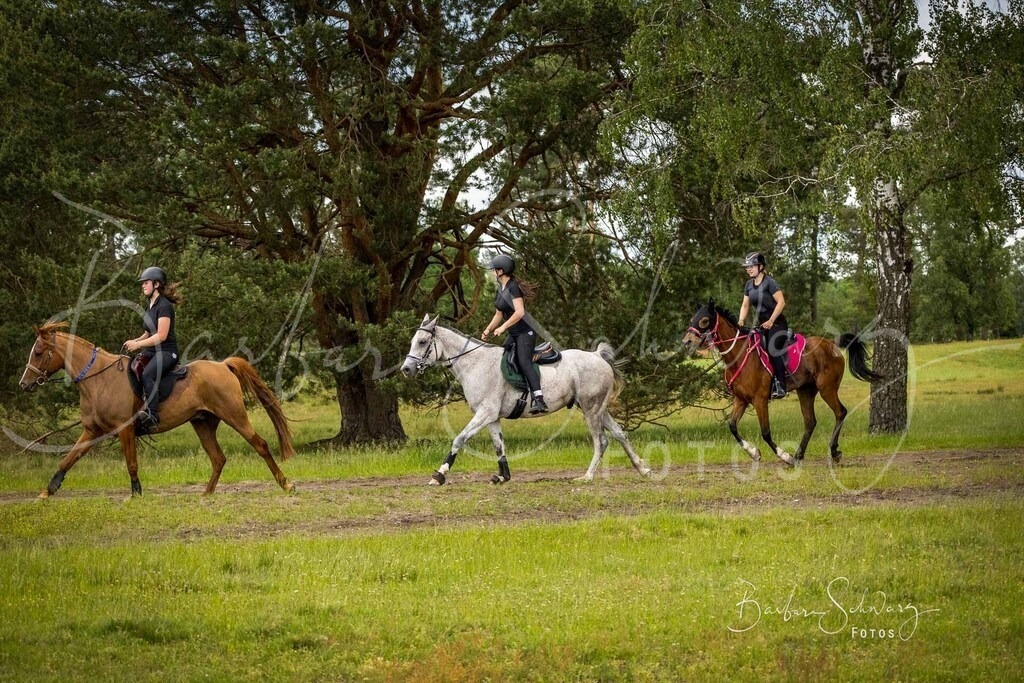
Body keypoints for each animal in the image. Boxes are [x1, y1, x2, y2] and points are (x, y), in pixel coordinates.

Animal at [18, 322, 296, 498]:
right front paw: (48, 491)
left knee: (260, 445)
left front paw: (136, 493)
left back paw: (286, 484)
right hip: (203, 422)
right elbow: (68, 459)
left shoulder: (125, 429)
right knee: (218, 458)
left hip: (234, 416)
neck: (98, 380)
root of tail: (222, 365)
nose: (24, 384)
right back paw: (206, 494)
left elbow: (131, 463)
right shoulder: (91, 431)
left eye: (39, 352)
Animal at [400, 315, 652, 485]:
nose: (406, 369)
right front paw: (503, 476)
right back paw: (643, 469)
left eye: (422, 342)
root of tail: (598, 356)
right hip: (597, 408)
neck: (475, 363)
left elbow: (459, 439)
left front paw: (439, 475)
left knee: (601, 441)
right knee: (619, 433)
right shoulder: (492, 417)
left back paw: (587, 476)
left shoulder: (484, 413)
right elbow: (499, 446)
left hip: (591, 410)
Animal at [681, 299, 882, 465]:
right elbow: (732, 427)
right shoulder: (741, 399)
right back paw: (799, 455)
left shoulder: (760, 400)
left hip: (827, 388)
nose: (686, 342)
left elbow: (765, 432)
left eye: (704, 321)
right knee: (810, 422)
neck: (738, 354)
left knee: (840, 412)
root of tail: (832, 344)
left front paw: (784, 456)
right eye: (692, 319)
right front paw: (754, 453)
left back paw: (832, 452)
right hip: (806, 390)